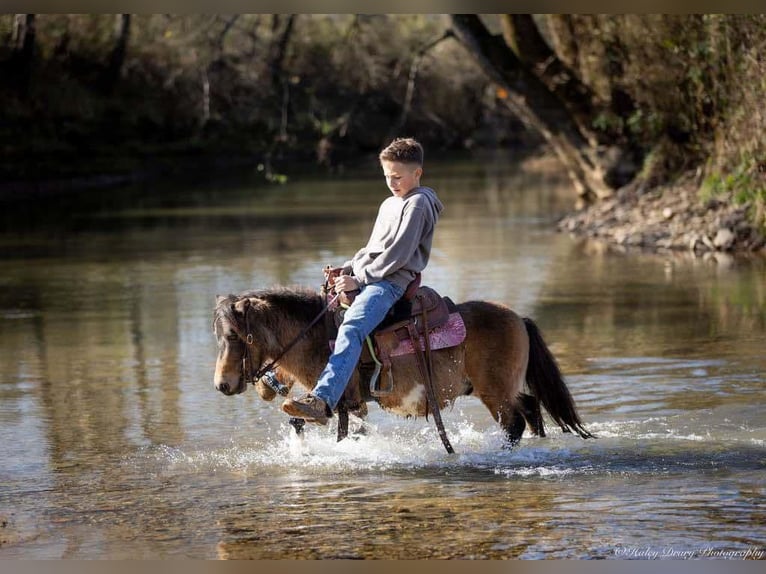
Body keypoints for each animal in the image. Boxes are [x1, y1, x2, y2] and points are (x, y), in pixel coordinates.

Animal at [213, 288, 596, 450]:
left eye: (234, 336)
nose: (221, 385)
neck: (320, 335)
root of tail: (519, 319)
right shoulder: (349, 407)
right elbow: (304, 423)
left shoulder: (340, 404)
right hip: (505, 390)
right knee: (531, 409)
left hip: (495, 393)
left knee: (514, 422)